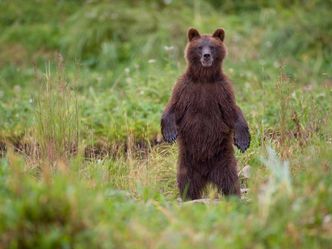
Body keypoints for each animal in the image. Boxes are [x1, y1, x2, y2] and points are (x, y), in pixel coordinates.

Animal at [160, 27, 249, 200]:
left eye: (212, 47)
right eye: (200, 47)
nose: (206, 55)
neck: (204, 79)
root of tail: (207, 175)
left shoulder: (221, 91)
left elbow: (233, 112)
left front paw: (243, 141)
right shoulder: (185, 89)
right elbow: (173, 108)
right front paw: (169, 133)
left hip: (223, 160)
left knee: (230, 181)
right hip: (187, 162)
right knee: (187, 183)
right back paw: (189, 197)